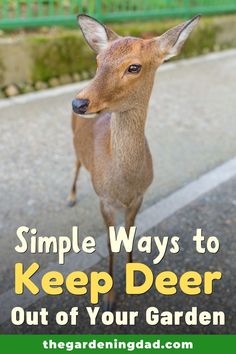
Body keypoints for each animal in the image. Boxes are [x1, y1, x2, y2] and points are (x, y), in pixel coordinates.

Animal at [69, 13, 200, 306]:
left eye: (134, 67)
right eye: (98, 61)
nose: (79, 103)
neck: (124, 185)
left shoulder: (139, 196)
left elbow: (129, 237)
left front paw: (132, 280)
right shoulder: (104, 200)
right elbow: (110, 243)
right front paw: (109, 297)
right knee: (77, 163)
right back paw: (71, 197)